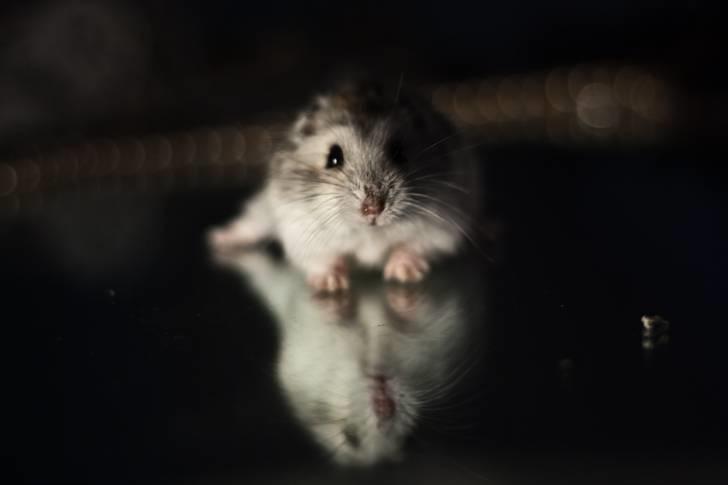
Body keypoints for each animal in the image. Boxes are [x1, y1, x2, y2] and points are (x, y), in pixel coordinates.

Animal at [209, 80, 480, 292]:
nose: (373, 209)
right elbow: (323, 258)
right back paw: (218, 238)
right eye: (333, 157)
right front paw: (330, 284)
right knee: (251, 222)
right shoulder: (300, 229)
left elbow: (415, 246)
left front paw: (403, 272)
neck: (370, 232)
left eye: (399, 152)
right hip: (265, 207)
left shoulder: (443, 227)